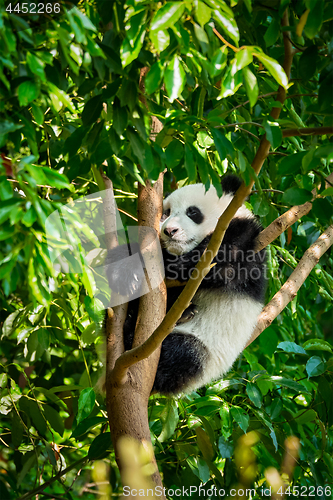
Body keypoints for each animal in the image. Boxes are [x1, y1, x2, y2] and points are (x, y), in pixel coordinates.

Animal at [105, 176, 266, 398]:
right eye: (166, 213)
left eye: (193, 212)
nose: (169, 231)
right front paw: (123, 270)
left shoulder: (246, 244)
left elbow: (218, 262)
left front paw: (174, 265)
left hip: (204, 349)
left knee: (180, 355)